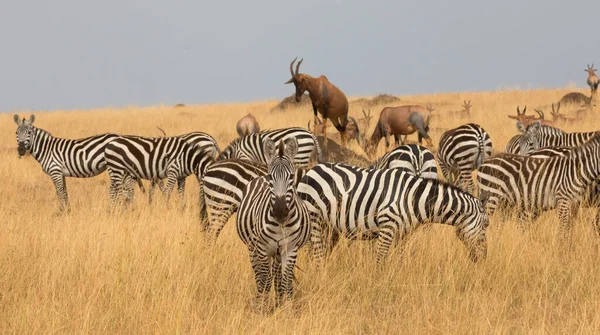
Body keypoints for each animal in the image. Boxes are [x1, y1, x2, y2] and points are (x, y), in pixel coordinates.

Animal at [236, 138, 312, 306]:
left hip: (277, 252)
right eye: (272, 177)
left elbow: (286, 282)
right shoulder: (263, 248)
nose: (280, 212)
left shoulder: (290, 249)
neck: (280, 225)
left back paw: (278, 302)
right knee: (259, 276)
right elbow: (265, 281)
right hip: (253, 248)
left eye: (291, 176)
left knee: (276, 277)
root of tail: (260, 177)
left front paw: (286, 308)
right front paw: (262, 308)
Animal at [298, 163, 490, 266]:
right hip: (315, 219)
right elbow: (380, 259)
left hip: (330, 226)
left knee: (320, 253)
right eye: (486, 225)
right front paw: (379, 284)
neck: (414, 199)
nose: (483, 259)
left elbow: (400, 258)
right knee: (316, 253)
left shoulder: (402, 233)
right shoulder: (387, 227)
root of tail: (313, 169)